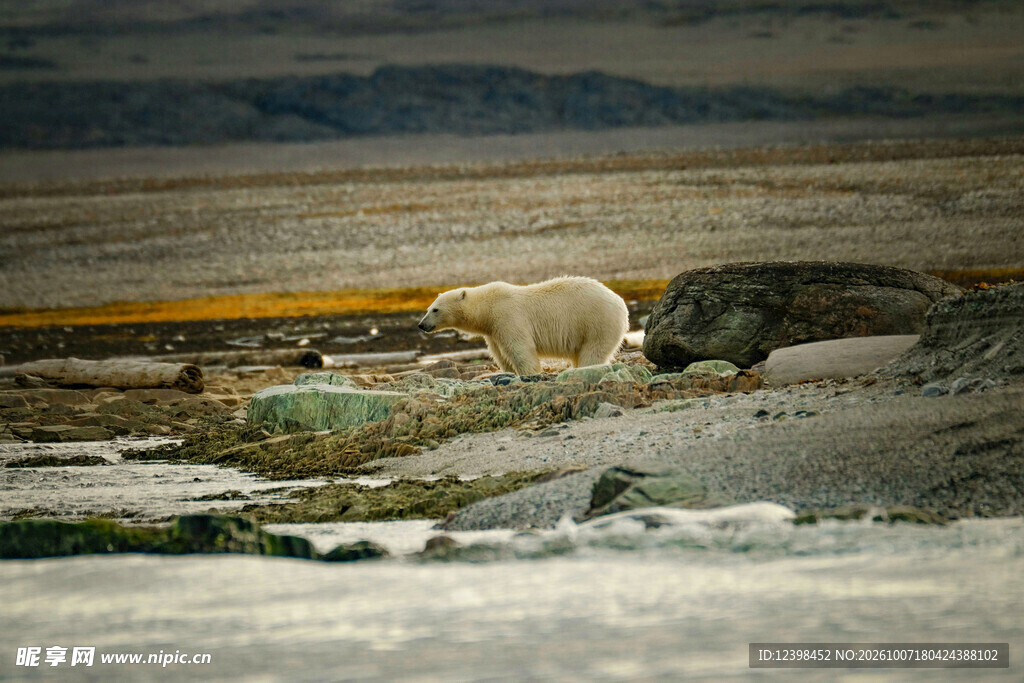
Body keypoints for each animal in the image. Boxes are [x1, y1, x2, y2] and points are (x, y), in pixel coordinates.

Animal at [417, 276, 629, 376]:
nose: (421, 325)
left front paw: (529, 373)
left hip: (597, 322)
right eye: (428, 308)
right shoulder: (493, 331)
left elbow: (519, 348)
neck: (487, 307)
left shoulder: (508, 317)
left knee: (593, 351)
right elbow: (501, 354)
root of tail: (620, 302)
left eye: (435, 309)